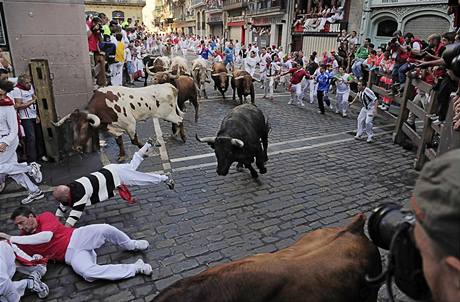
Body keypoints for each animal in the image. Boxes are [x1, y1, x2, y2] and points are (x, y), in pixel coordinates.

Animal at [53, 84, 183, 162]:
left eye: (85, 127)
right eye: (72, 127)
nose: (76, 147)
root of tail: (170, 86)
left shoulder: (130, 124)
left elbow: (134, 141)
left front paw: (146, 150)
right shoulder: (113, 128)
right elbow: (119, 142)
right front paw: (122, 155)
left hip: (168, 114)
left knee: (180, 120)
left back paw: (182, 137)